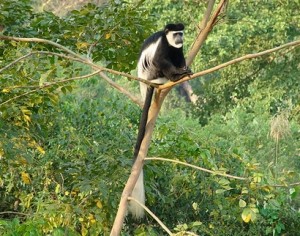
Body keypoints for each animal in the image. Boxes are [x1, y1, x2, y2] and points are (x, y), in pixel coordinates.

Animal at [129, 23, 192, 218]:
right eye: (176, 33)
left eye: (181, 33)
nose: (180, 38)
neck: (170, 41)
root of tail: (146, 81)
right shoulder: (164, 44)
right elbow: (160, 59)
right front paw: (179, 73)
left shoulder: (177, 48)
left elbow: (179, 56)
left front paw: (185, 69)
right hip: (152, 71)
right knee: (160, 63)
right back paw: (174, 77)